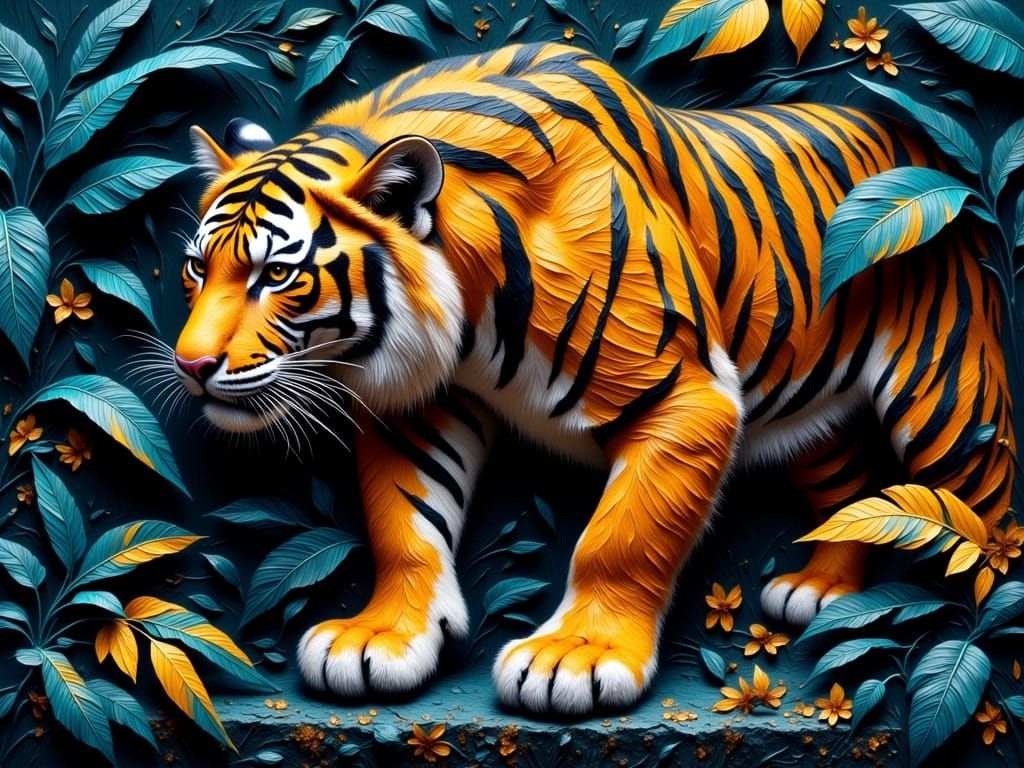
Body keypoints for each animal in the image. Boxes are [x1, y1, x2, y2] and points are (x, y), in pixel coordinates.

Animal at [172, 42, 1014, 715]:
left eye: (278, 275)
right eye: (196, 267)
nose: (191, 365)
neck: (464, 314)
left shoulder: (687, 395)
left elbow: (621, 538)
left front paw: (576, 657)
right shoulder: (422, 403)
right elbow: (404, 524)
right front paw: (381, 635)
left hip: (946, 395)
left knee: (987, 511)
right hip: (814, 407)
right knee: (851, 488)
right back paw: (823, 589)